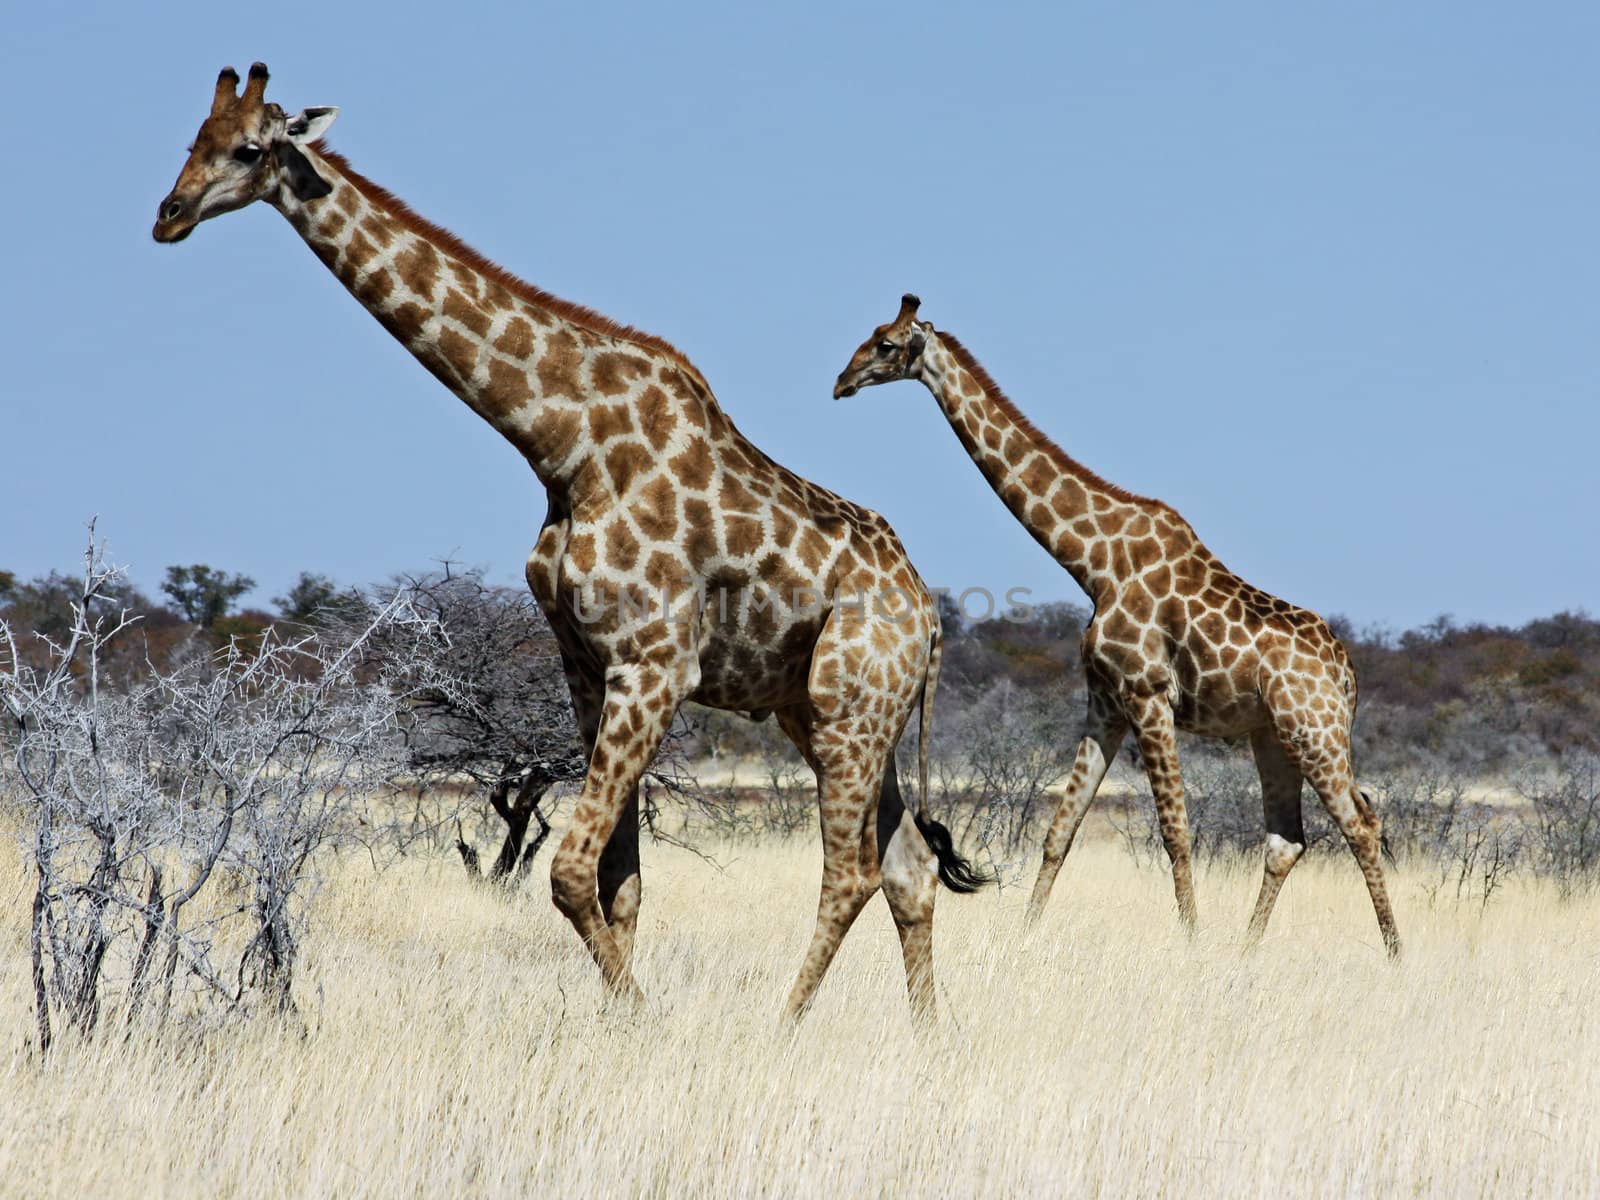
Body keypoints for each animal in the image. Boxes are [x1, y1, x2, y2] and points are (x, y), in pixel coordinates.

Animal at [152, 65, 985, 1017]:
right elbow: (618, 879)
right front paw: (621, 1024)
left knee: (850, 872)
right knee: (909, 865)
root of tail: (928, 616)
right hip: (824, 710)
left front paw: (644, 1022)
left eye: (250, 148)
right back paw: (928, 1035)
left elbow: (568, 871)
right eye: (194, 139)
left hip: (851, 708)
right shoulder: (587, 666)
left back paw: (785, 1026)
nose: (169, 214)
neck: (563, 445)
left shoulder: (656, 665)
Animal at [838, 294, 1401, 960]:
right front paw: (1025, 935)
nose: (841, 383)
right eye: (871, 335)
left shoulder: (1148, 694)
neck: (1095, 563)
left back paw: (1393, 952)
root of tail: (1347, 675)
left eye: (886, 344)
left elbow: (1175, 832)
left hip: (1314, 730)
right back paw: (1247, 950)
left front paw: (1190, 941)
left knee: (1362, 823)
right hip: (1273, 736)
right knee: (1287, 840)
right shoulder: (1105, 702)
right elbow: (1060, 829)